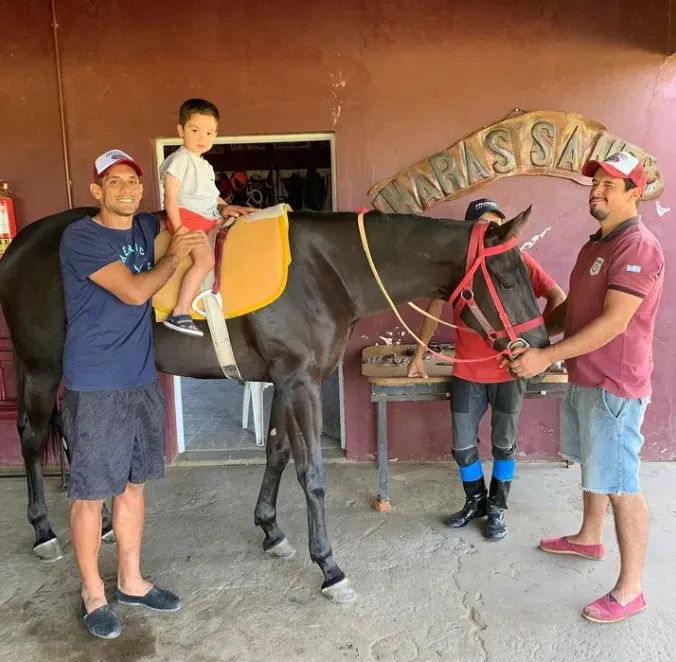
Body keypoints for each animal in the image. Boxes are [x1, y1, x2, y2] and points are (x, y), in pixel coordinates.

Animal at [0, 206, 548, 608]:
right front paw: (329, 566)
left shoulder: (286, 382)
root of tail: (20, 244)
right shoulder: (300, 382)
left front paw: (270, 529)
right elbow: (313, 473)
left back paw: (106, 525)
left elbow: (279, 455)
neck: (328, 269)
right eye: (508, 279)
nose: (539, 350)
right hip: (44, 366)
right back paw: (44, 531)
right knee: (33, 436)